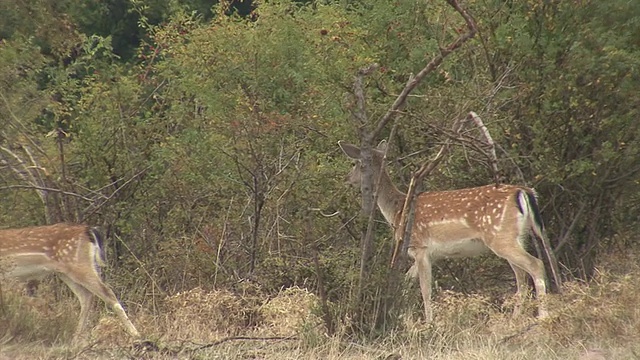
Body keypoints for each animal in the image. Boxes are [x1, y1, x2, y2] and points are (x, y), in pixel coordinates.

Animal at [0, 224, 140, 342]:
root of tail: (87, 230)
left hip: (78, 265)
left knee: (107, 293)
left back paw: (136, 334)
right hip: (67, 272)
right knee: (86, 296)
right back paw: (75, 339)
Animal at [340, 140, 552, 320]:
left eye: (355, 163)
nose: (347, 179)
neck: (397, 211)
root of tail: (524, 192)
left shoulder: (420, 247)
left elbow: (425, 290)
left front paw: (428, 323)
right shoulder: (427, 254)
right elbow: (407, 282)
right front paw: (404, 316)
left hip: (500, 236)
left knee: (535, 265)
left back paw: (542, 316)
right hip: (516, 236)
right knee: (521, 276)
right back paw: (515, 318)